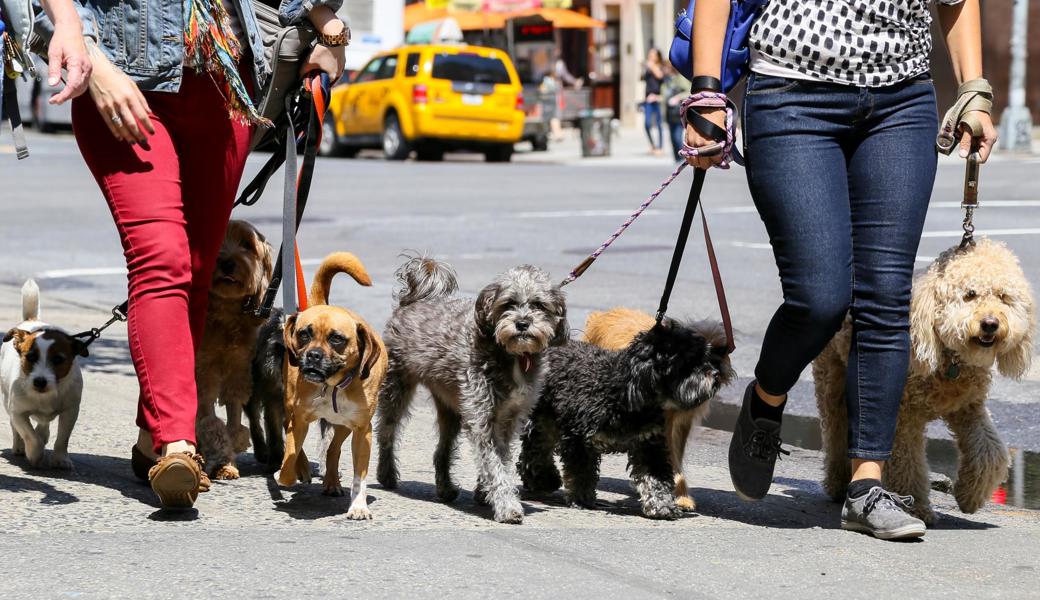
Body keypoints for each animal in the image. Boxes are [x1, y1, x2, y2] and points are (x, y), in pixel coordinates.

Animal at [193, 218, 270, 478]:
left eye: (247, 244)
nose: (227, 262)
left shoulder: (238, 369)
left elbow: (234, 421)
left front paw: (235, 446)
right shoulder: (204, 372)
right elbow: (211, 423)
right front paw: (223, 461)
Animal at [815, 239, 1035, 524]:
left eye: (1003, 297)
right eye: (970, 294)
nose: (990, 323)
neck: (950, 359)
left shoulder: (969, 407)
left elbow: (990, 451)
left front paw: (970, 496)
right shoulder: (905, 415)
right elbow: (907, 462)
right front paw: (916, 507)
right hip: (831, 376)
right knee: (835, 426)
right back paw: (838, 482)